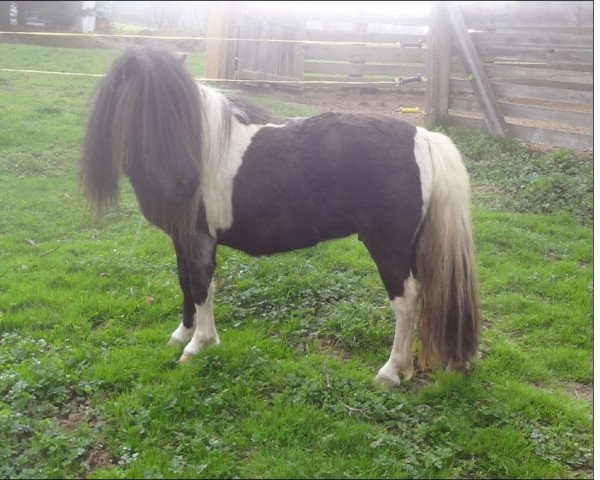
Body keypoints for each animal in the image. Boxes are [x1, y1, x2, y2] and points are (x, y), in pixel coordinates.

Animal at [82, 48, 480, 386]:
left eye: (181, 111)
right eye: (142, 108)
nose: (185, 182)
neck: (204, 147)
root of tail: (423, 136)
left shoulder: (199, 239)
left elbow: (201, 286)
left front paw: (199, 345)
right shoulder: (181, 238)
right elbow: (184, 282)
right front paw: (182, 334)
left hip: (388, 247)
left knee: (406, 300)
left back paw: (392, 371)